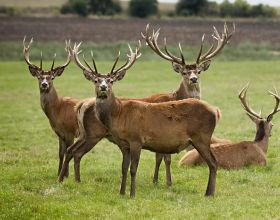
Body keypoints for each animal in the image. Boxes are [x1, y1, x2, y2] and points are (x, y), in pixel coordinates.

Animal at [22, 37, 84, 177]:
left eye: (51, 77)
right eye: (39, 77)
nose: (44, 84)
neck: (57, 110)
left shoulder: (70, 131)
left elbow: (68, 152)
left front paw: (65, 175)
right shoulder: (59, 132)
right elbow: (60, 153)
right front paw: (59, 173)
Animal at [59, 23, 234, 186]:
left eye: (198, 71)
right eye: (184, 72)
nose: (193, 79)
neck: (175, 96)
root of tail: (81, 105)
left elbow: (160, 157)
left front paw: (157, 180)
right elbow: (164, 158)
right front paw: (165, 182)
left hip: (84, 133)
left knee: (71, 150)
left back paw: (64, 178)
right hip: (93, 133)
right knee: (76, 152)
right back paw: (73, 179)